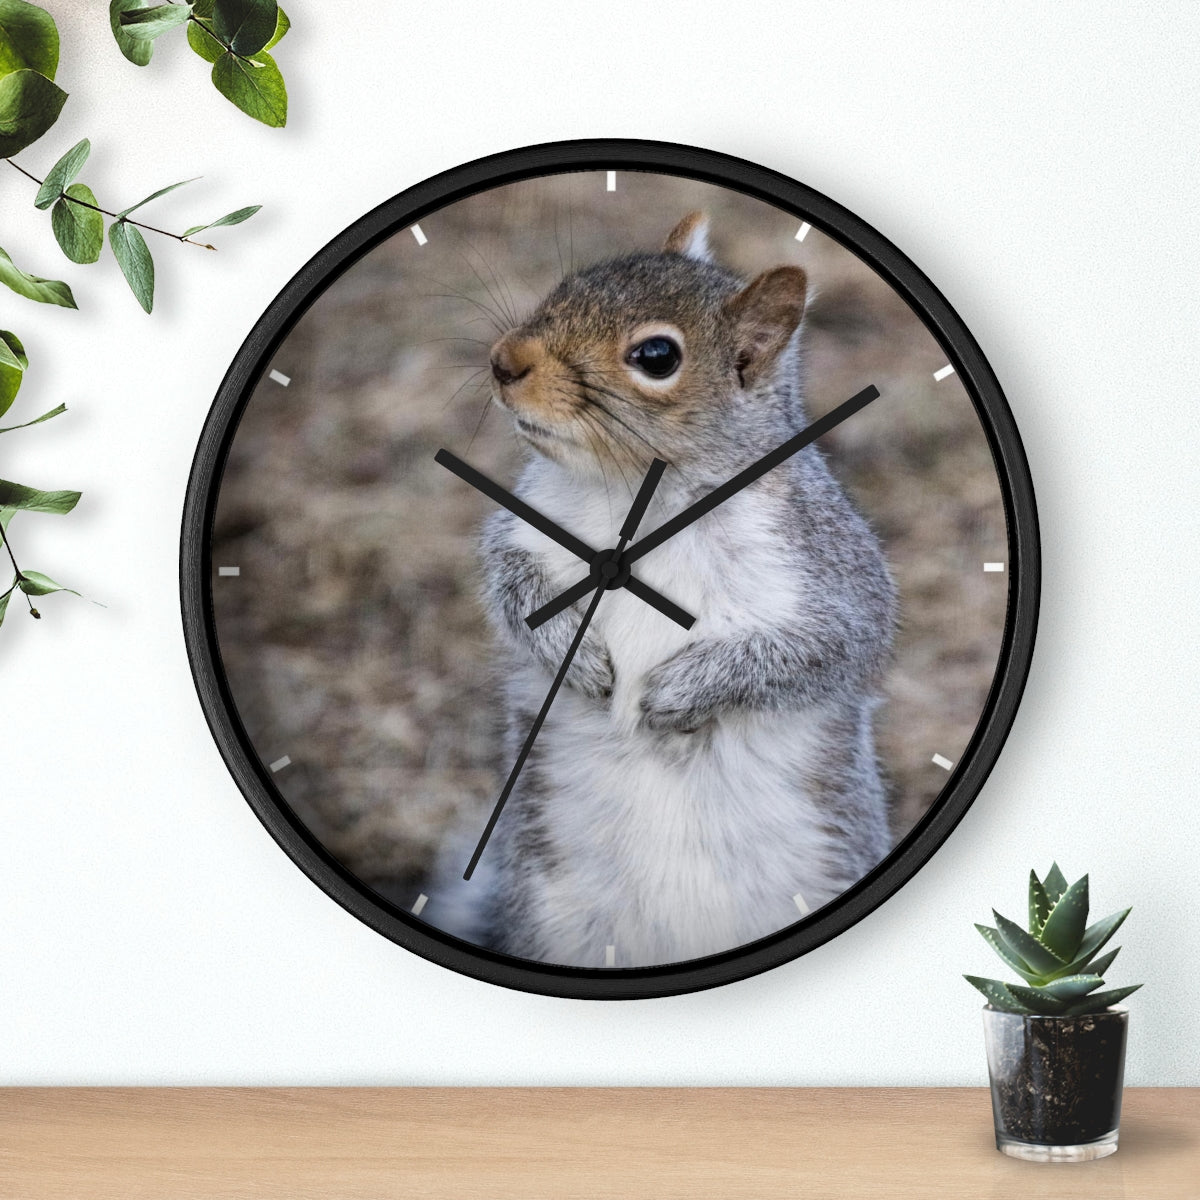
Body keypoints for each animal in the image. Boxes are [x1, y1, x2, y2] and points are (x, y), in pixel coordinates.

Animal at [438, 212, 897, 968]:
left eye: (656, 356)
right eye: (567, 284)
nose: (504, 361)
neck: (640, 492)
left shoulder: (830, 571)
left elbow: (823, 649)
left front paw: (679, 692)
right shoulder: (524, 528)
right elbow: (509, 584)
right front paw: (575, 653)